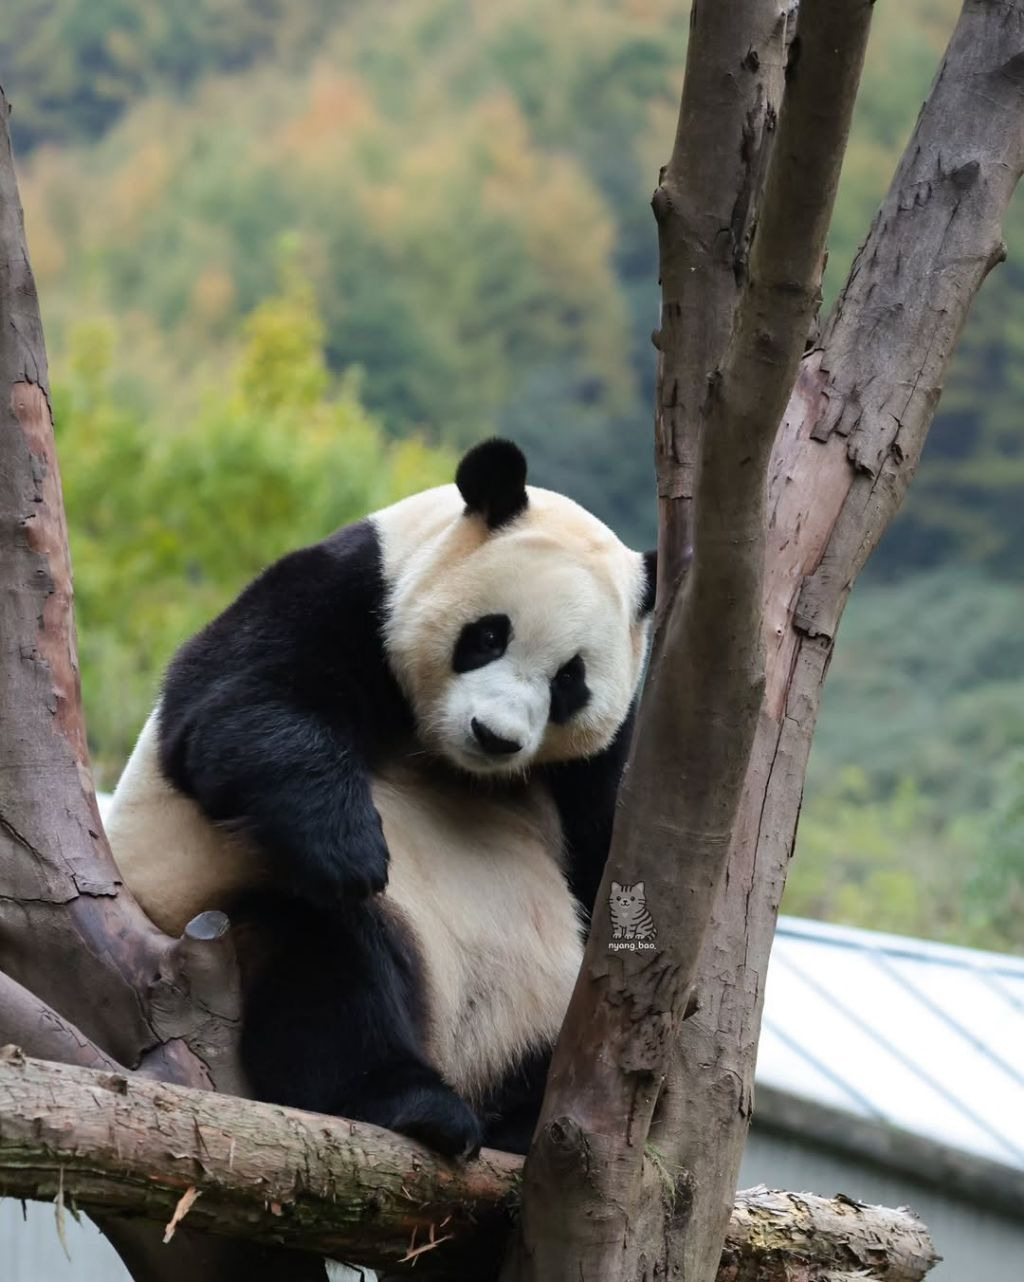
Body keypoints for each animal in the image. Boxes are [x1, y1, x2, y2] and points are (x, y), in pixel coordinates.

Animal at [105, 438, 655, 1158]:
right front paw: (350, 848)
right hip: (229, 901)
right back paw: (413, 1104)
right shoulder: (352, 593)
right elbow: (236, 704)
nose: (495, 735)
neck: (449, 759)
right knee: (331, 961)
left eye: (570, 680)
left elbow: (606, 850)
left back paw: (521, 1124)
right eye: (488, 636)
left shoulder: (603, 759)